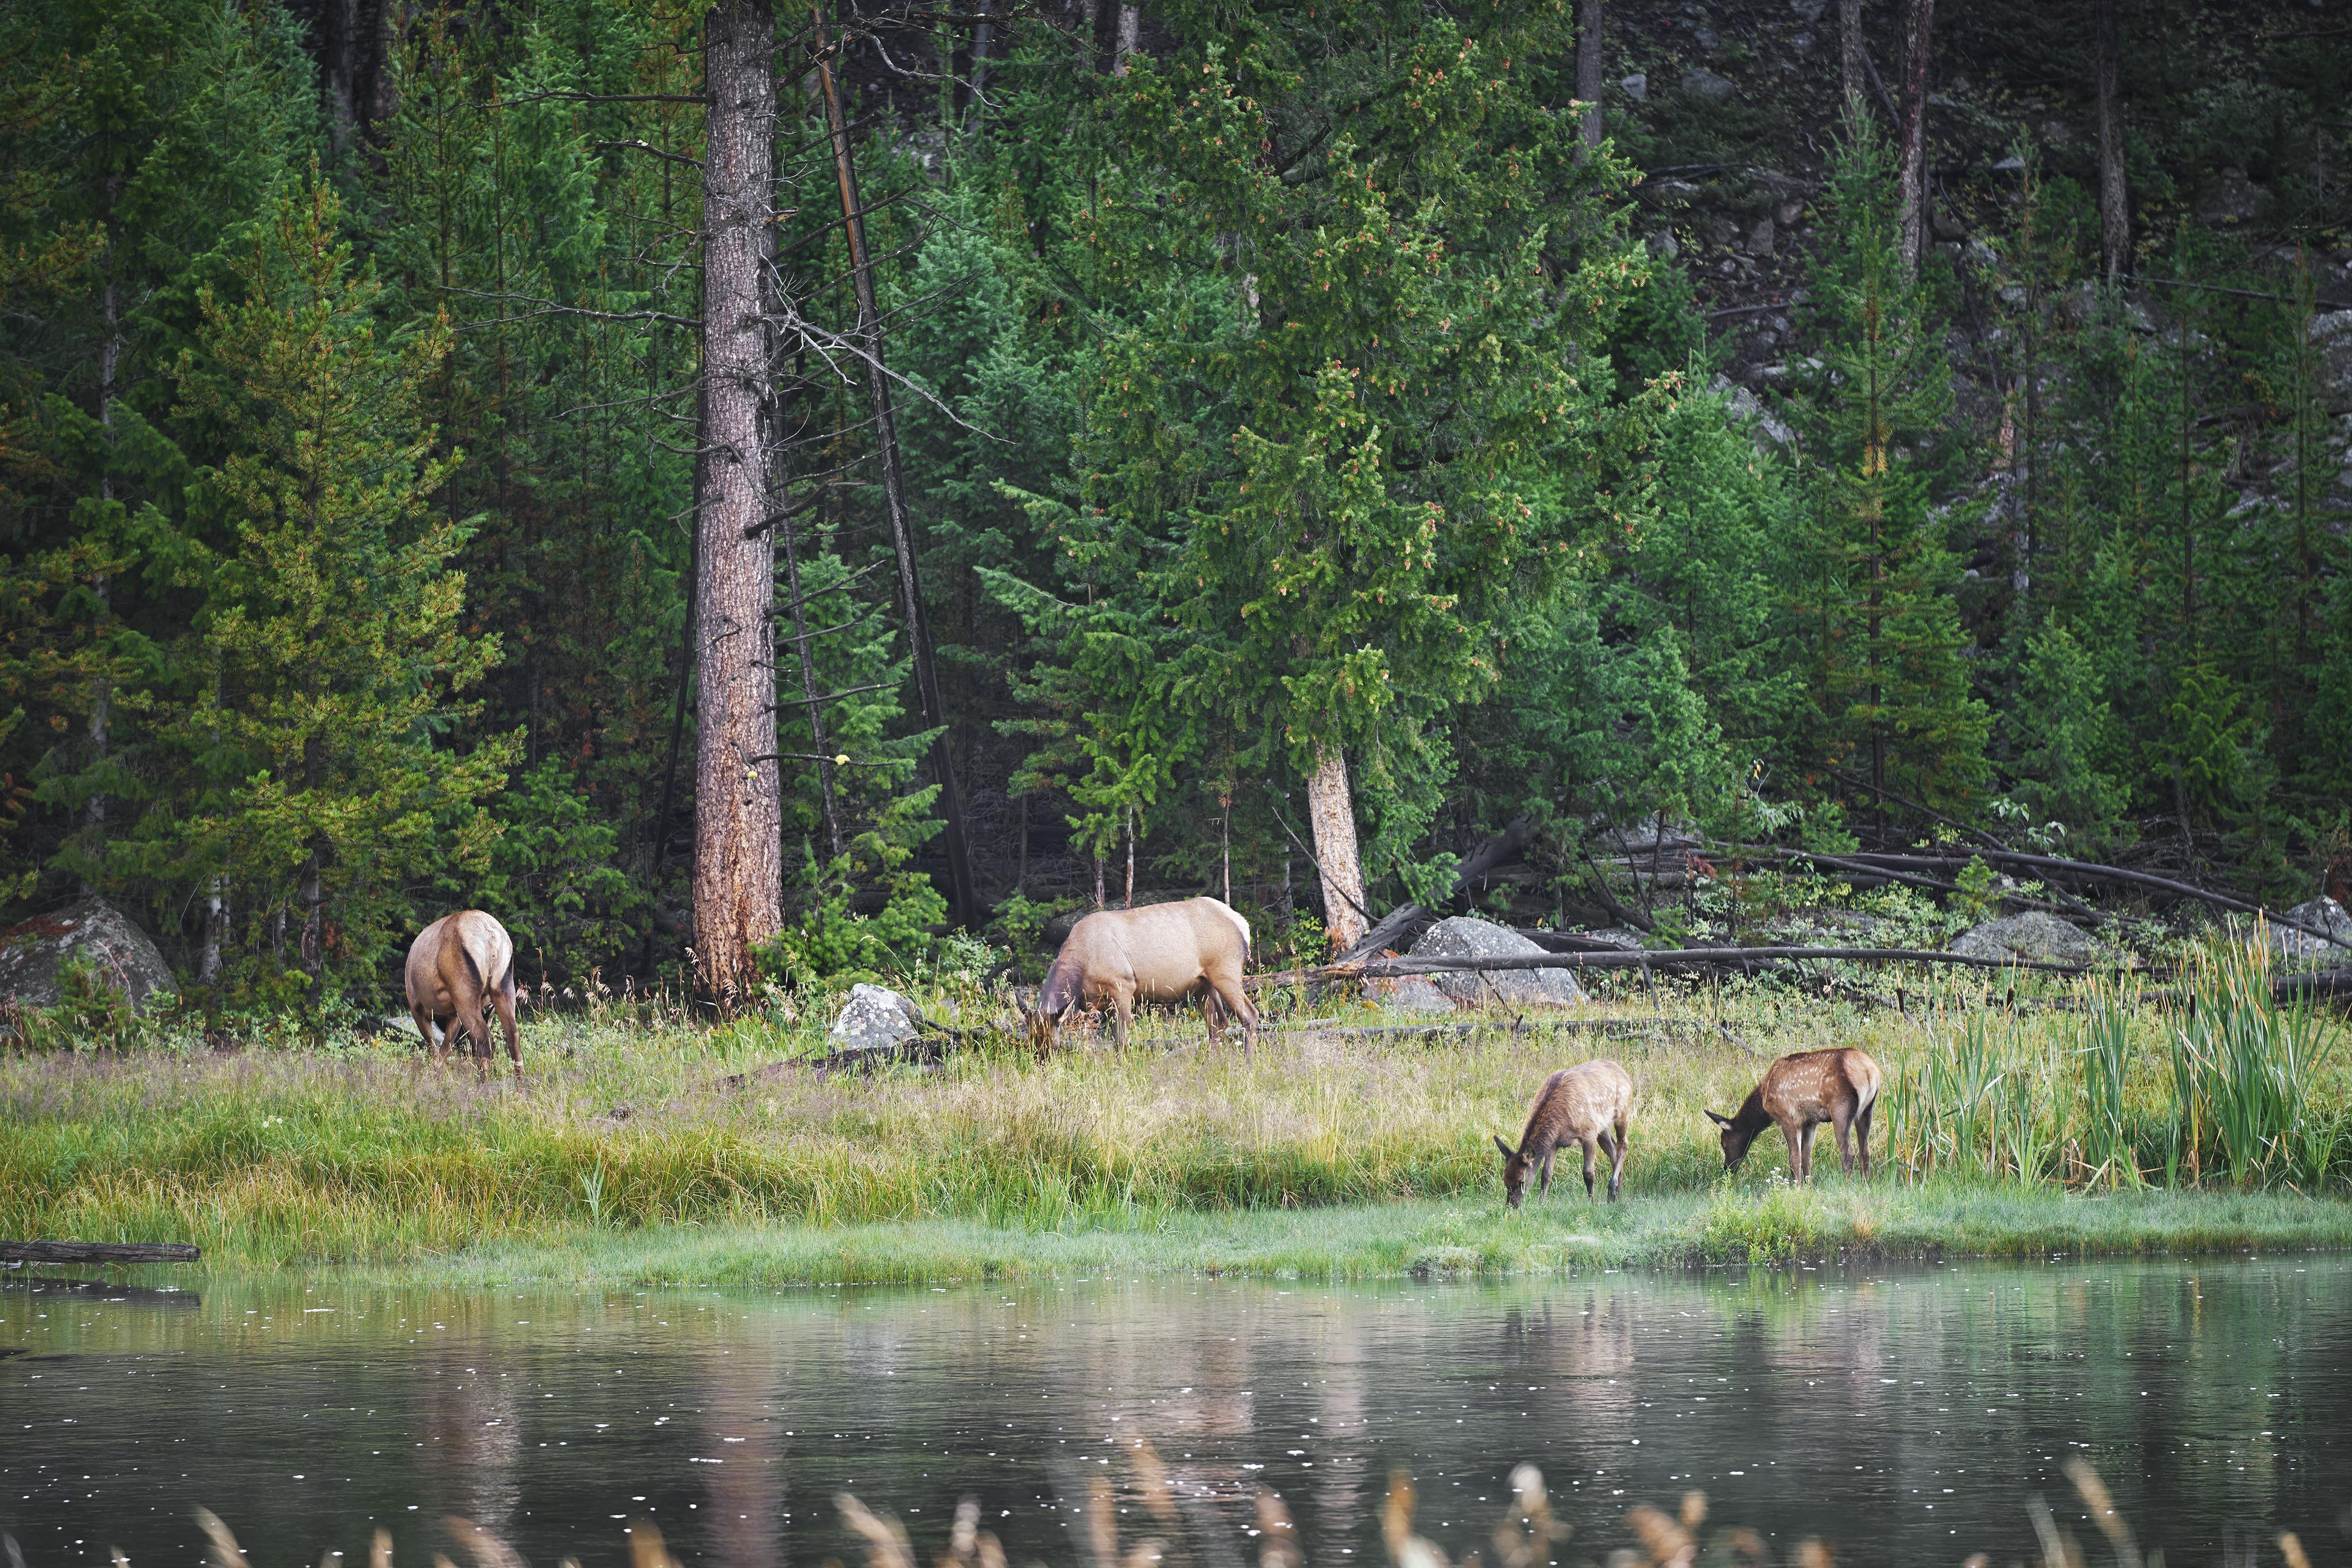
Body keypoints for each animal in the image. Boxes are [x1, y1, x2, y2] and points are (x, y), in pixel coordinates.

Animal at [404, 909, 523, 1082]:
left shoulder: (416, 1007)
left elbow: (434, 1050)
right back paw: (520, 1089)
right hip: (504, 986)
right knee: (514, 1039)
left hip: (464, 993)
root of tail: (491, 938)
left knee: (485, 1041)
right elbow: (444, 1051)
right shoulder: (455, 1015)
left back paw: (482, 1086)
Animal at [1024, 898, 1258, 1055]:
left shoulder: (1123, 986)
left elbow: (1121, 1040)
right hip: (1203, 984)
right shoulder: (1104, 1003)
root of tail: (1243, 924)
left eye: (1054, 1045)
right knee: (1218, 1022)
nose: (1042, 1065)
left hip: (1226, 971)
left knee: (1250, 1014)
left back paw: (1248, 1065)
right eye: (1030, 1041)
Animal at [1493, 1058, 1635, 1207]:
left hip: (1623, 1113)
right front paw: (1541, 1202)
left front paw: (1592, 1202)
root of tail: (1626, 1075)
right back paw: (1617, 1193)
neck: (1559, 1122)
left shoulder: (1589, 1133)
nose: (1512, 1205)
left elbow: (1588, 1173)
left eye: (1521, 1180)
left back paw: (1612, 1189)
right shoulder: (1554, 1143)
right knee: (1613, 1149)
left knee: (1623, 1145)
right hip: (1603, 1127)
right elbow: (1546, 1174)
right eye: (1505, 1180)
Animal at [1704, 1047, 1881, 1181]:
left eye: (1723, 1143)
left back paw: (1847, 1184)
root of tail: (1870, 1071)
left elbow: (1794, 1159)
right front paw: (1809, 1186)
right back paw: (1865, 1184)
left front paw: (1797, 1187)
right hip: (1867, 1110)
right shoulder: (1810, 1121)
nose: (1727, 1169)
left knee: (1848, 1152)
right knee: (1866, 1151)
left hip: (1841, 1107)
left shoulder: (1786, 1116)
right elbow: (1807, 1158)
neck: (1765, 1101)